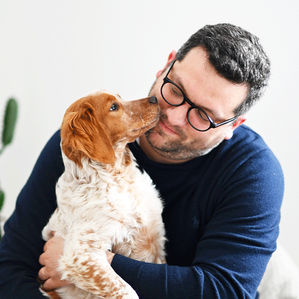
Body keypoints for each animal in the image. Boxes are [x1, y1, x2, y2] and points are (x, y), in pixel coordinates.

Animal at [41, 92, 166, 298]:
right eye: (114, 107)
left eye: (120, 98)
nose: (155, 99)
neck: (119, 180)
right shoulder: (81, 255)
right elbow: (126, 290)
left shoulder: (154, 244)